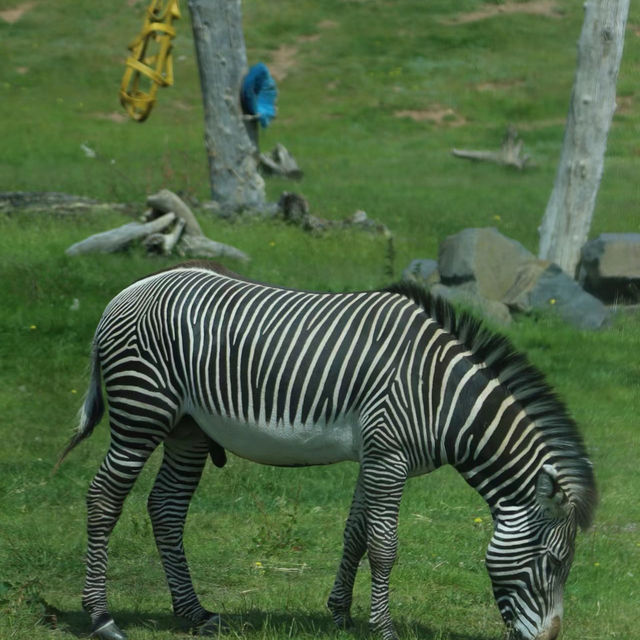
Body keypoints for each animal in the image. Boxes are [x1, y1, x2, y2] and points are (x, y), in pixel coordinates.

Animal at [57, 262, 596, 640]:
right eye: (555, 563)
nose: (550, 638)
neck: (442, 395)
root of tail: (127, 291)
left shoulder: (374, 455)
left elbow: (355, 534)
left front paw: (341, 614)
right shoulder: (389, 455)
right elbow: (384, 546)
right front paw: (384, 628)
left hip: (186, 430)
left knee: (166, 508)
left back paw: (195, 613)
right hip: (141, 413)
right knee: (103, 500)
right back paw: (102, 618)